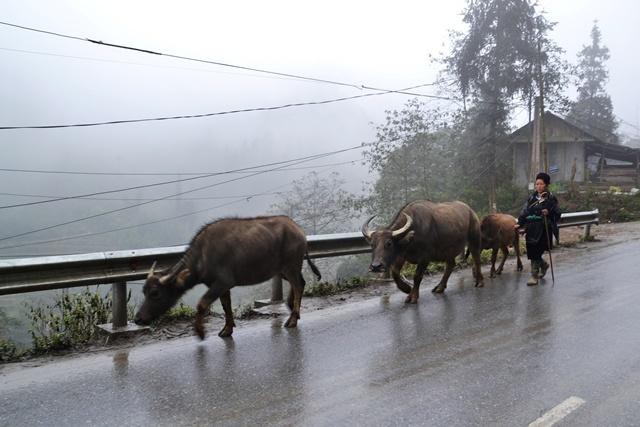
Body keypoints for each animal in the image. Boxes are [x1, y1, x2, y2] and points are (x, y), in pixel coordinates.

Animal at [136, 217, 324, 342]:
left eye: (155, 293)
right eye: (143, 291)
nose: (138, 318)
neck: (203, 256)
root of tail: (299, 230)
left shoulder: (222, 283)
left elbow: (202, 303)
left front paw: (200, 332)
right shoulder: (220, 286)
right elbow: (226, 305)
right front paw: (227, 329)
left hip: (290, 266)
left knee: (298, 284)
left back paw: (292, 319)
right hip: (283, 270)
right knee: (300, 282)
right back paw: (292, 308)